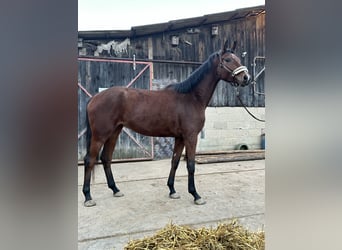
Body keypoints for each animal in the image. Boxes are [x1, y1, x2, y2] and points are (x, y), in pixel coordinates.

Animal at [81, 39, 250, 207]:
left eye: (238, 59)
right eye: (227, 60)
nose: (246, 78)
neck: (191, 97)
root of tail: (94, 97)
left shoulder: (180, 137)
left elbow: (175, 161)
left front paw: (172, 190)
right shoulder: (190, 137)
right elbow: (190, 165)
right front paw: (195, 195)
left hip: (114, 132)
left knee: (106, 158)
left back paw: (115, 189)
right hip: (100, 135)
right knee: (89, 160)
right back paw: (88, 197)